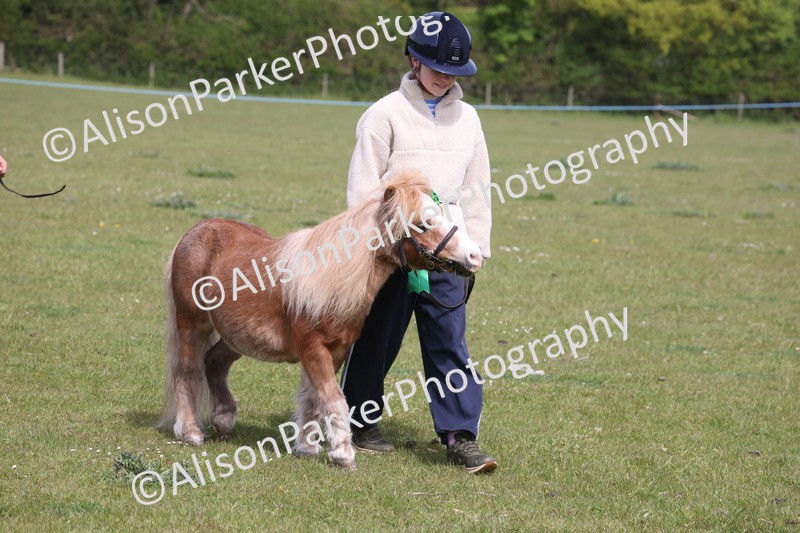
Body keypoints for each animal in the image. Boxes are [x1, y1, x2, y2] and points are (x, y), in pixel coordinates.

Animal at [157, 170, 484, 469]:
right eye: (423, 223)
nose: (475, 255)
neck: (329, 279)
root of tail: (196, 231)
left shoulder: (336, 351)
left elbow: (314, 399)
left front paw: (307, 447)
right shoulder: (314, 349)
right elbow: (333, 398)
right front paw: (343, 454)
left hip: (234, 336)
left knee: (214, 362)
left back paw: (224, 420)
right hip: (191, 324)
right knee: (187, 370)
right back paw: (190, 432)